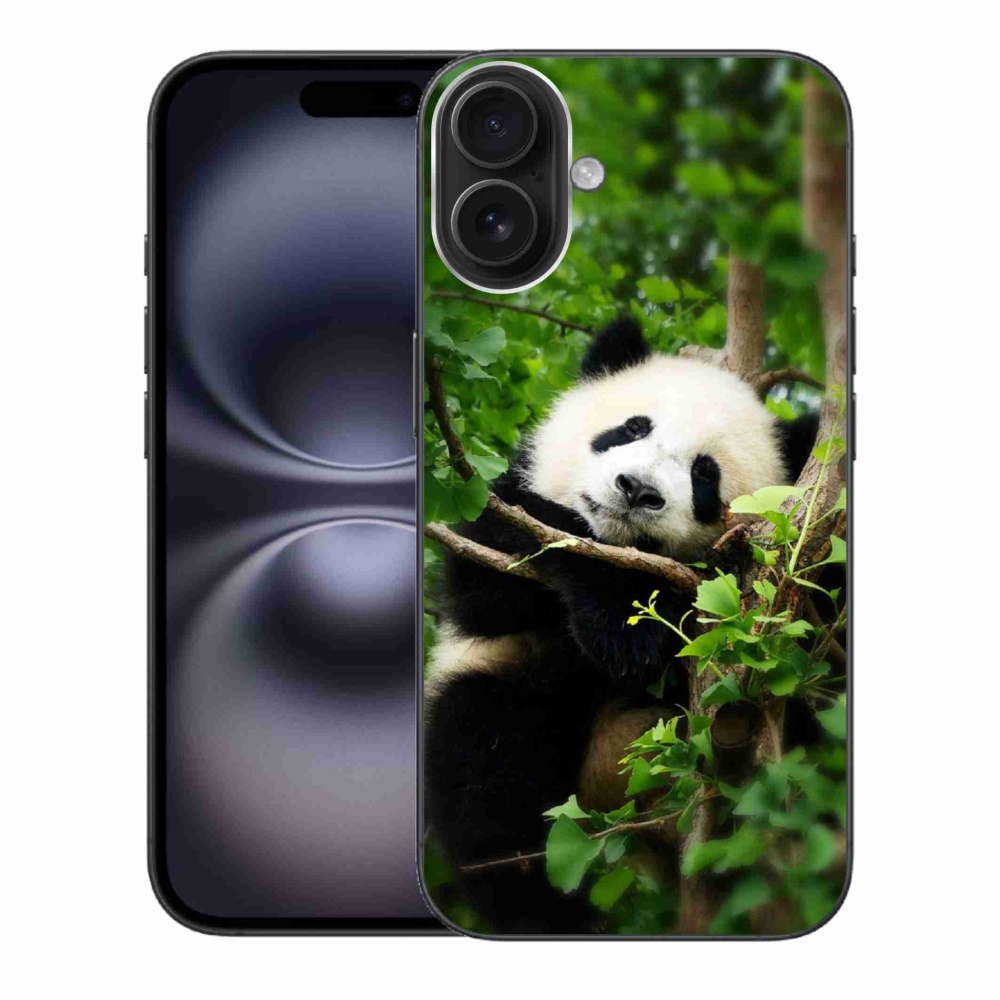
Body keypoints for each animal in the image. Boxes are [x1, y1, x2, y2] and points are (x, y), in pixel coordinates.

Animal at [424, 317, 818, 934]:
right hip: (513, 699)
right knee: (487, 773)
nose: (637, 489)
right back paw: (544, 911)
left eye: (705, 475)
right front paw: (625, 624)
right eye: (632, 427)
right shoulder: (496, 519)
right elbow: (492, 581)